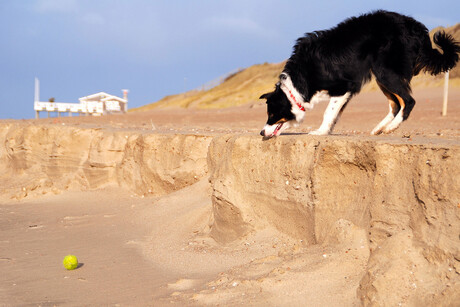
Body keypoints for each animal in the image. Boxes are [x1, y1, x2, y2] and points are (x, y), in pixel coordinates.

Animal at [260, 10, 458, 138]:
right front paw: (327, 130)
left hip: (384, 72)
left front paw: (320, 131)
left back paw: (391, 128)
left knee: (408, 101)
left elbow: (328, 112)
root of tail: (418, 28)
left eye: (271, 114)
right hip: (382, 76)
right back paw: (379, 128)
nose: (261, 132)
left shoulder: (344, 86)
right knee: (395, 104)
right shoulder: (347, 91)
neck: (298, 83)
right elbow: (335, 113)